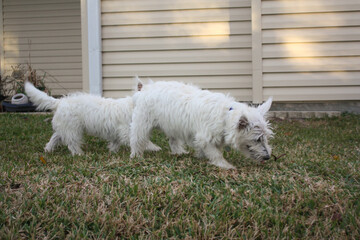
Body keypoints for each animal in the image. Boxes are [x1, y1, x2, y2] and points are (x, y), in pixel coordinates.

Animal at [25, 81, 160, 156]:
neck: (133, 105)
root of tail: (59, 102)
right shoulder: (127, 131)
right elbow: (143, 141)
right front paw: (154, 148)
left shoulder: (117, 133)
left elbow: (115, 143)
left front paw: (112, 152)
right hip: (73, 130)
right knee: (72, 144)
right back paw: (79, 154)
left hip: (65, 128)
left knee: (54, 138)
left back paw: (48, 150)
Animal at [129, 81, 272, 170]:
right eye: (257, 139)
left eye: (265, 138)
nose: (268, 157)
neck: (225, 115)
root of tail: (143, 90)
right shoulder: (205, 138)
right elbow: (216, 154)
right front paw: (225, 165)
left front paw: (201, 156)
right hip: (142, 123)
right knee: (136, 139)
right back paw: (136, 155)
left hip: (172, 125)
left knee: (173, 141)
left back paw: (179, 152)